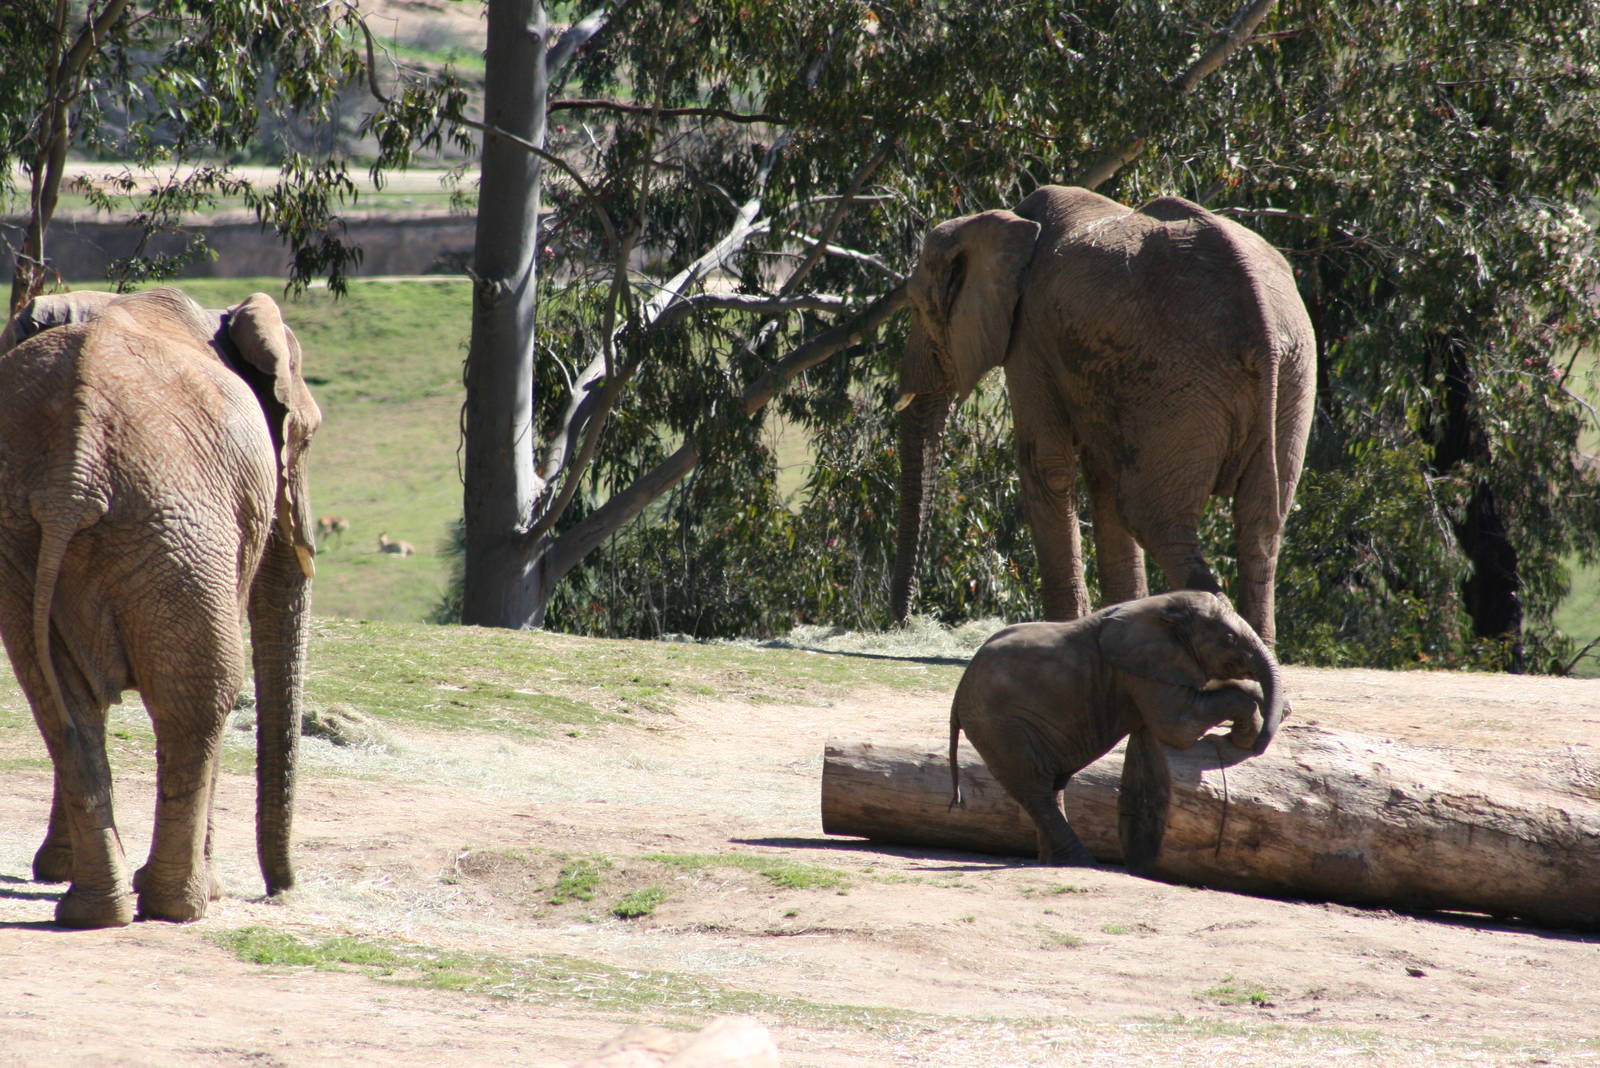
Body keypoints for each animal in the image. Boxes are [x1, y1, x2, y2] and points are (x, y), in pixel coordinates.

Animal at [0, 287, 321, 928]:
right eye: (309, 434)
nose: (281, 891)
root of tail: (74, 476)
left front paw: (54, 871)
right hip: (175, 526)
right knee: (202, 692)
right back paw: (180, 904)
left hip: (23, 537)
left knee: (58, 700)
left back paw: (95, 910)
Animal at [892, 185, 1316, 647]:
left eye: (918, 307)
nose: (904, 622)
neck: (999, 221)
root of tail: (1264, 330)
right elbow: (1102, 474)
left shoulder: (1029, 334)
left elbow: (1044, 464)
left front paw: (1054, 632)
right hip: (1292, 377)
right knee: (1260, 523)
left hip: (1181, 377)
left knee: (1156, 519)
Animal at [949, 590, 1283, 871]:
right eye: (1228, 638)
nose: (1260, 746)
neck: (1168, 604)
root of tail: (960, 689)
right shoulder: (1140, 670)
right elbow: (1177, 727)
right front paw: (1246, 735)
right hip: (1001, 725)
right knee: (1036, 789)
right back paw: (1082, 863)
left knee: (1053, 785)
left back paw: (1053, 862)